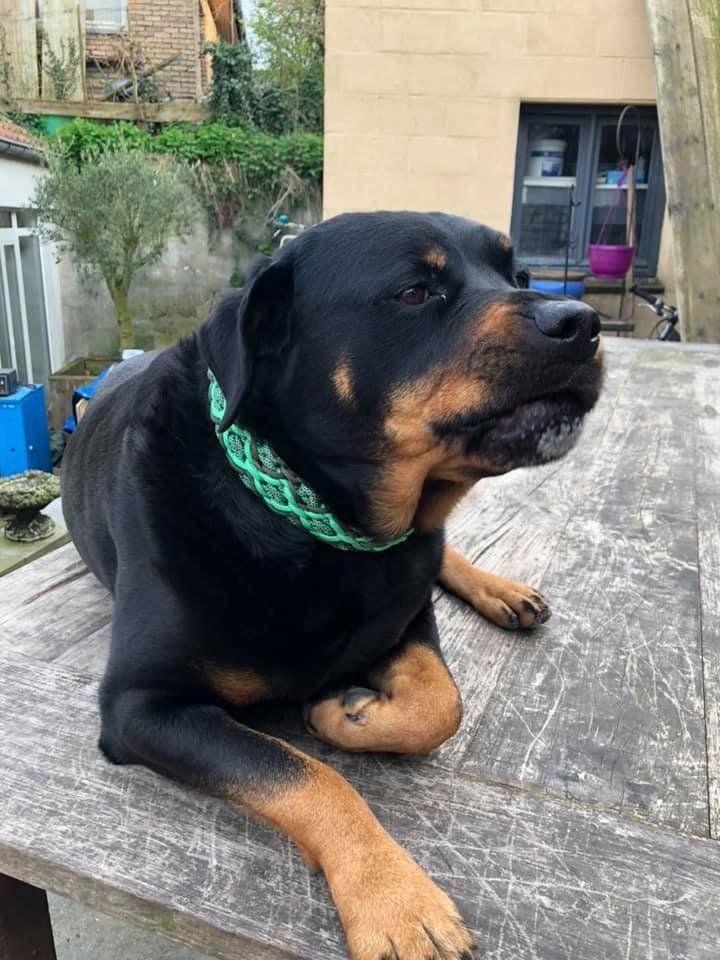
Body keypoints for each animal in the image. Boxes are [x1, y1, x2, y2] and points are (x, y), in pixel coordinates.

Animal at [61, 212, 603, 960]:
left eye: (518, 275)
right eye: (414, 292)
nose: (581, 322)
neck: (309, 525)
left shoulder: (405, 612)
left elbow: (441, 703)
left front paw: (348, 714)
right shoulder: (140, 705)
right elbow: (304, 774)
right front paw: (395, 897)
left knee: (444, 557)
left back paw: (500, 589)